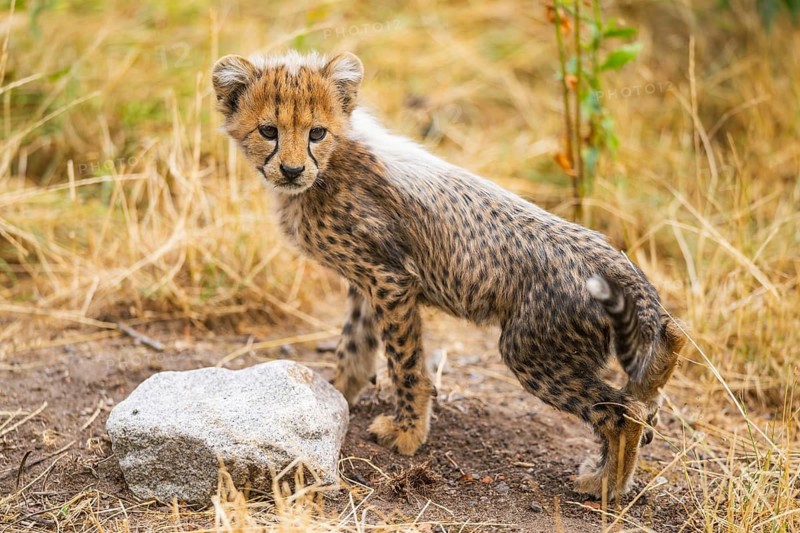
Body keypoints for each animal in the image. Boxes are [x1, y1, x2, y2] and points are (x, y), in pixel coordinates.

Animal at [211, 50, 685, 500]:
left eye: (316, 133)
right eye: (268, 131)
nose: (292, 171)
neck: (331, 165)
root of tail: (616, 261)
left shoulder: (391, 280)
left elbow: (404, 362)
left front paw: (406, 432)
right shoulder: (369, 280)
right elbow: (354, 346)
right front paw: (335, 397)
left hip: (530, 349)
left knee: (624, 415)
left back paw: (604, 487)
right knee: (649, 392)